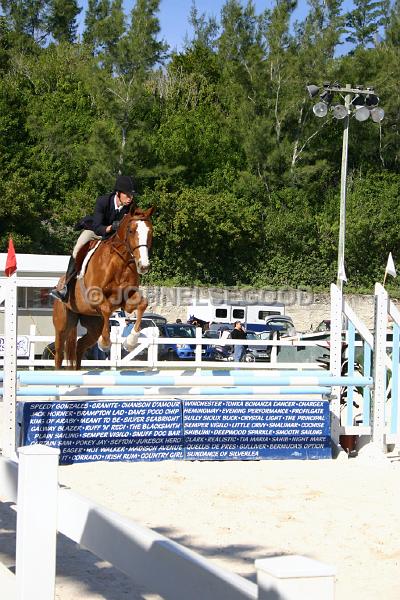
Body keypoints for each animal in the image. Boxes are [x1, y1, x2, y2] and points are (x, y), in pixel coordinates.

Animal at [52, 205, 155, 370]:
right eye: (131, 231)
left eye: (150, 232)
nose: (143, 266)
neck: (120, 262)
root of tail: (60, 282)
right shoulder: (95, 296)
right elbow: (106, 308)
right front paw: (105, 343)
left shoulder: (127, 299)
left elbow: (142, 304)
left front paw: (130, 342)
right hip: (62, 324)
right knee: (59, 352)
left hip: (93, 323)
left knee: (80, 346)